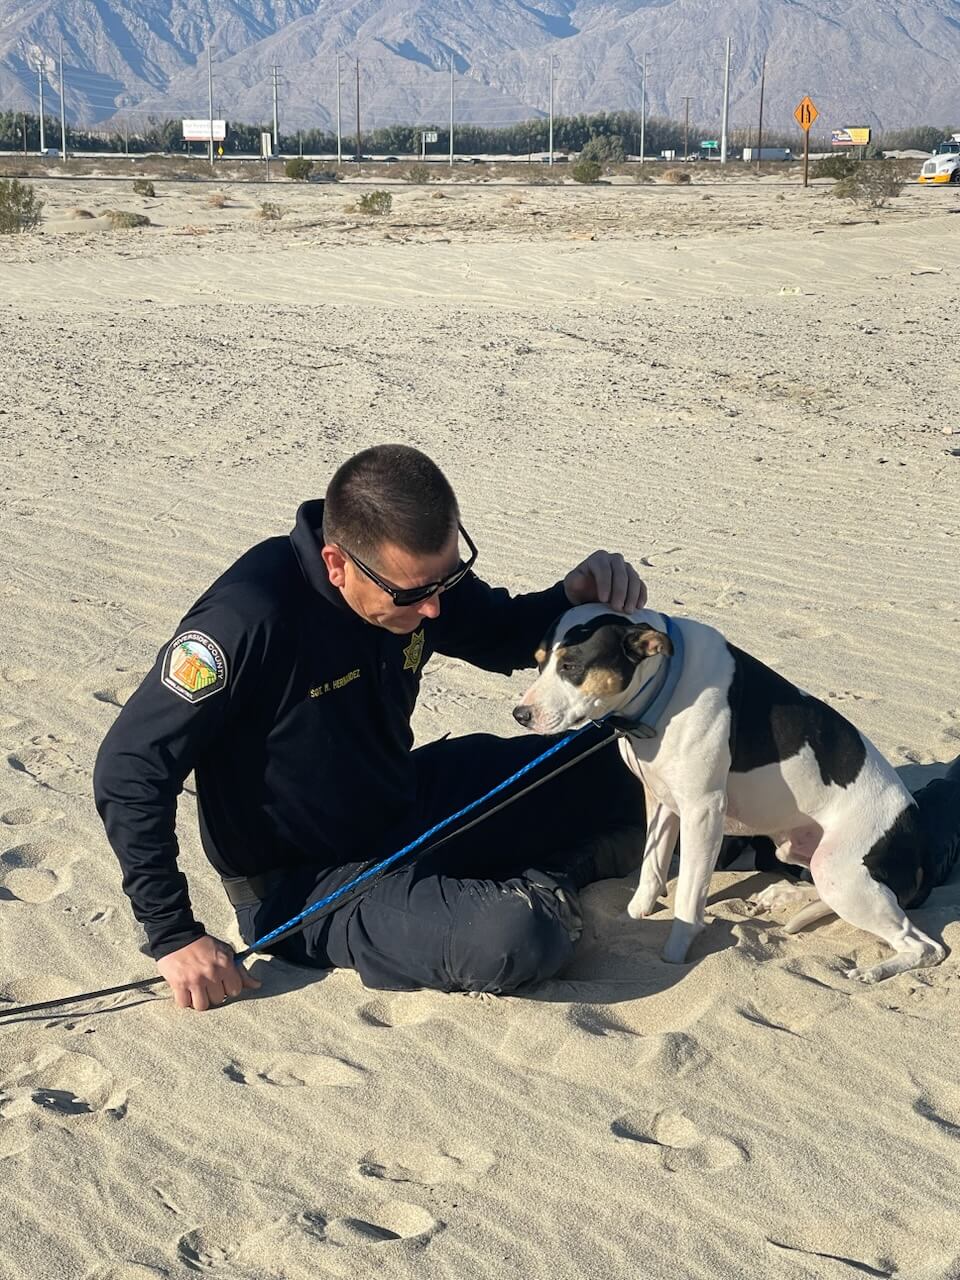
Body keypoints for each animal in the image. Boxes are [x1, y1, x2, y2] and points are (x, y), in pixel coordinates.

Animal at [513, 604, 948, 983]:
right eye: (538, 662)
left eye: (571, 666)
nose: (521, 714)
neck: (665, 684)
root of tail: (919, 840)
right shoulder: (660, 801)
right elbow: (651, 872)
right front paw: (635, 916)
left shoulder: (702, 812)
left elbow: (688, 897)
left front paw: (673, 957)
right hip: (802, 853)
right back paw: (785, 894)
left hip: (838, 869)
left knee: (925, 947)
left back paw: (874, 971)